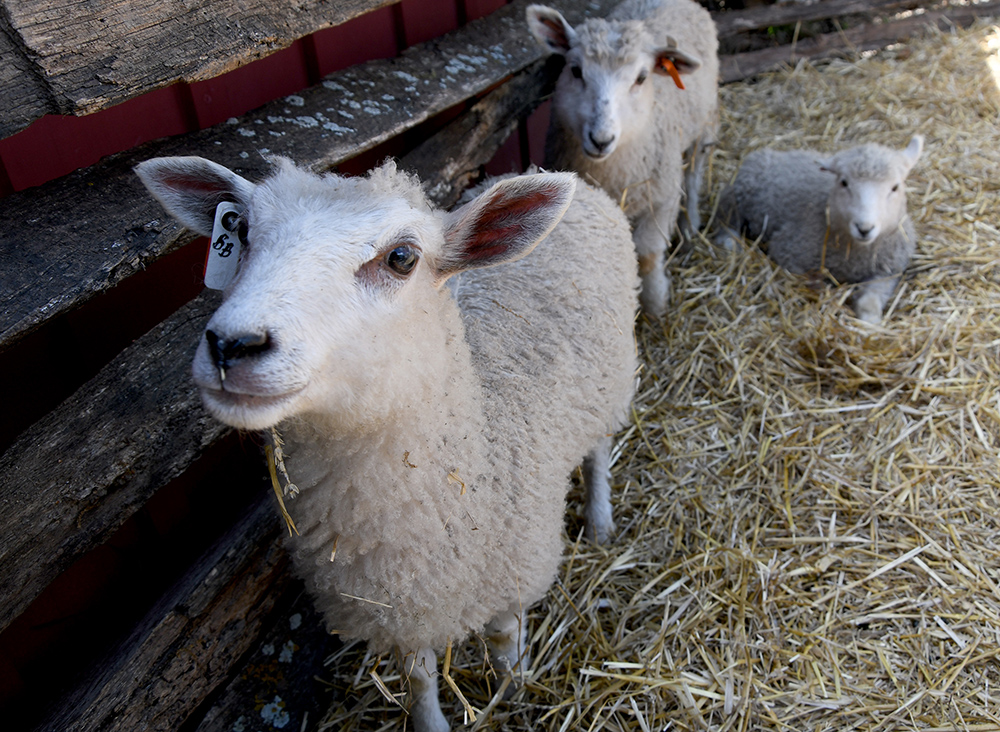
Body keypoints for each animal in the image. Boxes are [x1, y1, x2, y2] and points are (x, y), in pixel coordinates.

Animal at [134, 156, 638, 732]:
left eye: (402, 258)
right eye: (239, 232)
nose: (232, 344)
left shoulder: (514, 572)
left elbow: (504, 641)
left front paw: (512, 690)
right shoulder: (397, 609)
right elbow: (418, 680)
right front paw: (433, 722)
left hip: (611, 382)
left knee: (599, 453)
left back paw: (599, 521)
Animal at [527, 0, 719, 317]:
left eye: (641, 78)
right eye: (576, 70)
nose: (601, 139)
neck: (613, 173)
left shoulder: (661, 199)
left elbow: (648, 256)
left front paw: (656, 303)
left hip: (704, 123)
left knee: (694, 172)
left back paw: (691, 221)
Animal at [716, 135, 924, 323]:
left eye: (895, 187)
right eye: (844, 182)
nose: (864, 228)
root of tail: (771, 152)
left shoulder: (889, 270)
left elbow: (870, 302)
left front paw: (870, 323)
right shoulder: (789, 253)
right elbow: (816, 283)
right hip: (734, 198)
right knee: (725, 224)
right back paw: (732, 245)